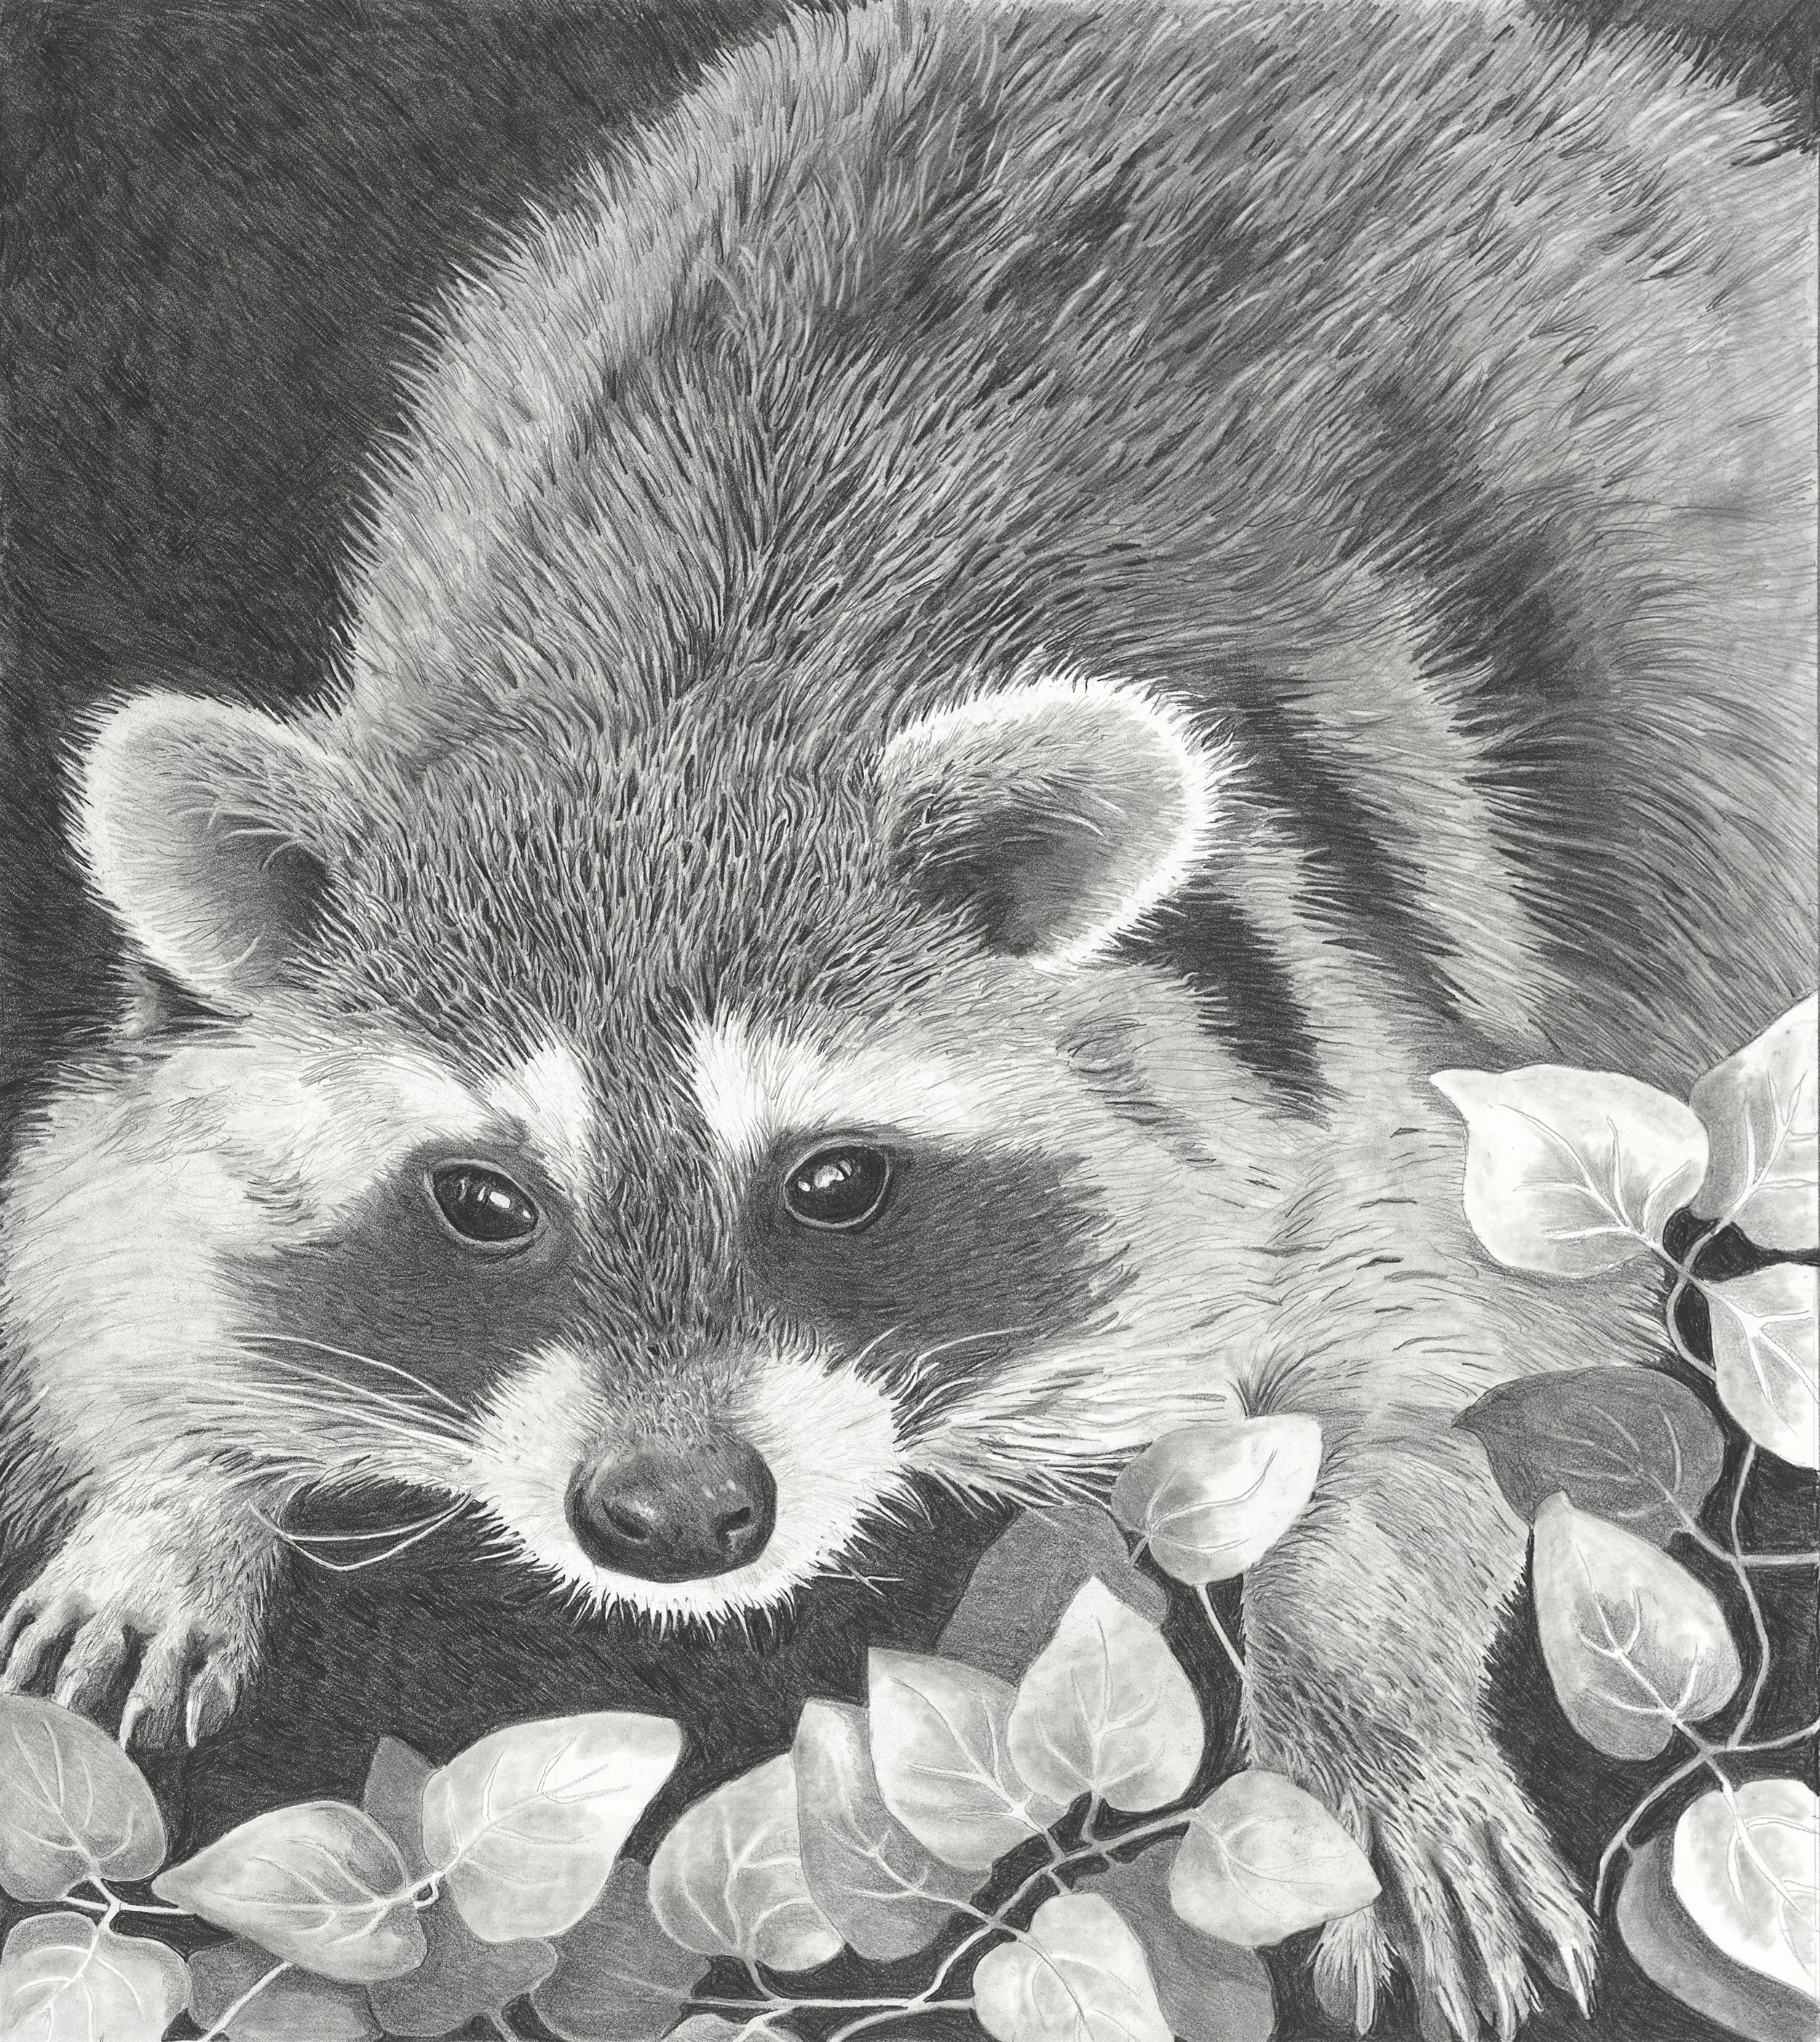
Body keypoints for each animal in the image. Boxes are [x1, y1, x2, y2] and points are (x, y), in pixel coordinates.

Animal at [1, 1, 1813, 2034]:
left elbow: (1461, 1351)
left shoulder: (1321, 1020)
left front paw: (1363, 1702)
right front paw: (170, 1486)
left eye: (834, 1177)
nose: (675, 1514)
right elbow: (86, 1215)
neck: (703, 705)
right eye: (481, 1197)